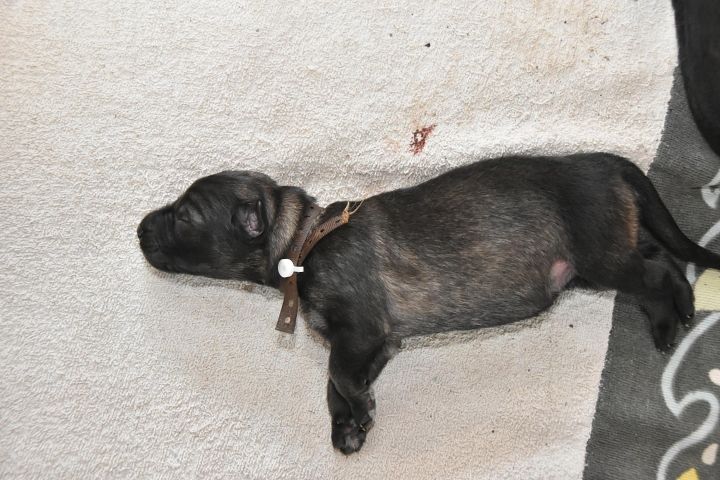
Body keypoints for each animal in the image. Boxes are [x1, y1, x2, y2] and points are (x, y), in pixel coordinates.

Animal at [137, 153, 720, 454]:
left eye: (184, 216)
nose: (139, 227)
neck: (303, 241)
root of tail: (605, 163)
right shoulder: (371, 342)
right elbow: (333, 382)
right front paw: (347, 425)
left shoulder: (361, 331)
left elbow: (339, 375)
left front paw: (362, 411)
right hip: (609, 252)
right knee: (660, 261)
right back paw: (677, 312)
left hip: (600, 257)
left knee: (655, 271)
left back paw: (669, 322)